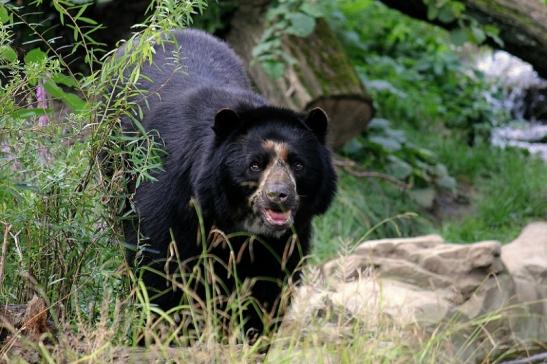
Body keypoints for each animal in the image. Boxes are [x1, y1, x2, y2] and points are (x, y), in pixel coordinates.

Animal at [119, 29, 338, 340]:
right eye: (255, 164)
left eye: (298, 164)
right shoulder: (169, 197)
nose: (279, 196)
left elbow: (268, 286)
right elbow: (159, 269)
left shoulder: (285, 238)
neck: (236, 223)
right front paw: (161, 334)